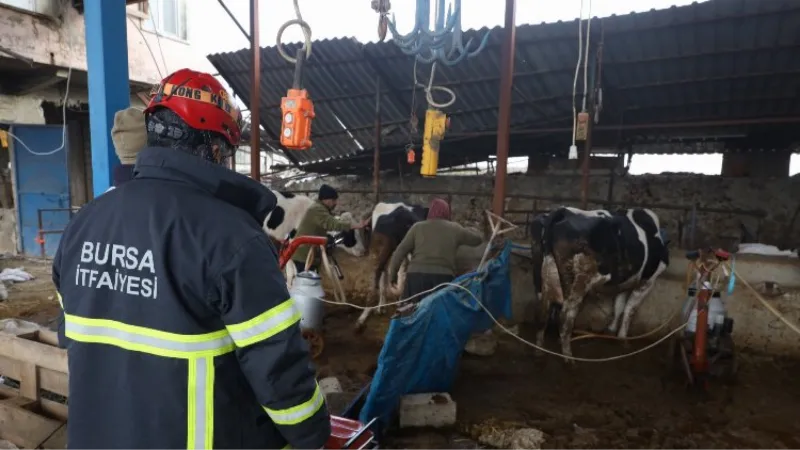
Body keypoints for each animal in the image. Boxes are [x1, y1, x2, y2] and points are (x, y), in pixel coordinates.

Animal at [532, 206, 668, 360]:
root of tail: (563, 211)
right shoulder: (647, 281)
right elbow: (630, 309)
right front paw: (623, 338)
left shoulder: (625, 282)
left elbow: (619, 306)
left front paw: (612, 330)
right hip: (579, 281)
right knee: (566, 316)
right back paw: (569, 358)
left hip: (543, 277)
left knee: (543, 311)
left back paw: (539, 351)